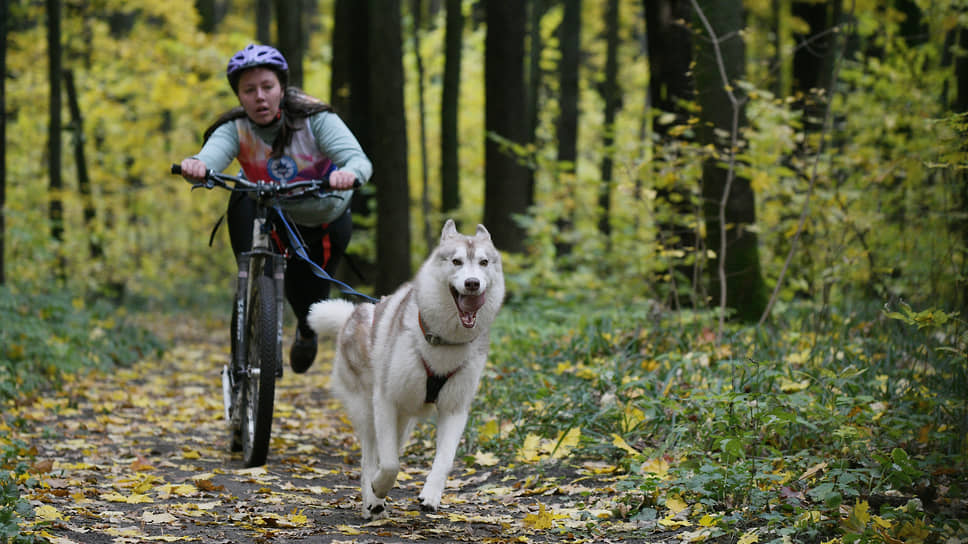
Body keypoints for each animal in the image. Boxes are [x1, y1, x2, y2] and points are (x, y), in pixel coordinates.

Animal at [308, 220, 506, 520]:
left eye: (483, 262)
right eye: (456, 261)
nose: (472, 283)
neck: (444, 341)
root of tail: (351, 315)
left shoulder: (455, 409)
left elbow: (444, 460)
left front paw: (431, 495)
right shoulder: (385, 400)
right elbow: (390, 463)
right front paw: (379, 487)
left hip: (405, 420)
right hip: (366, 410)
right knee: (370, 457)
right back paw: (371, 501)